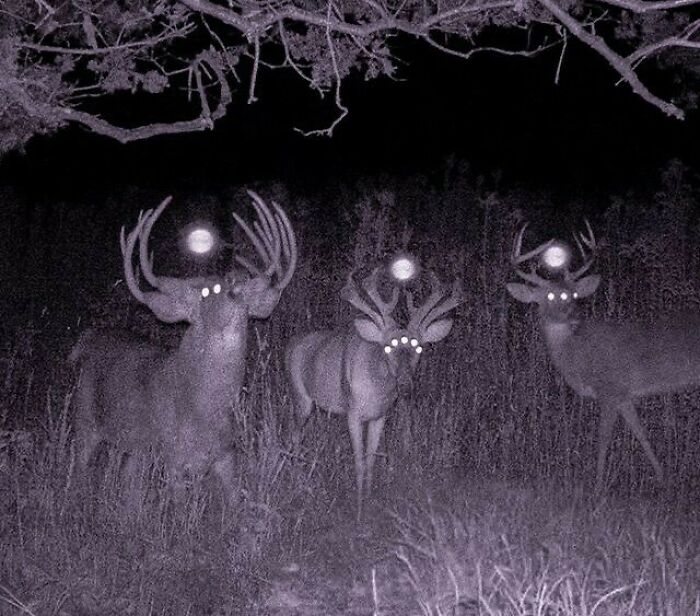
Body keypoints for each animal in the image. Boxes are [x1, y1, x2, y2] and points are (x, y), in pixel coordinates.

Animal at [69, 191, 297, 504]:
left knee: (129, 484)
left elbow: (236, 503)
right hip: (85, 419)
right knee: (79, 470)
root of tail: (89, 337)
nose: (236, 278)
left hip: (136, 448)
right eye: (207, 291)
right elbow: (178, 510)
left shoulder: (227, 456)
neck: (202, 411)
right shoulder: (174, 460)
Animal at [285, 267, 461, 518]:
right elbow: (359, 461)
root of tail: (289, 345)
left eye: (418, 347)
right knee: (294, 434)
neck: (377, 390)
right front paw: (359, 508)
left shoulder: (380, 416)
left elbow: (371, 461)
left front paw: (369, 501)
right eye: (387, 347)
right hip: (300, 396)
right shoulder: (353, 413)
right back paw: (298, 479)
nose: (405, 385)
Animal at [506, 222, 700, 495]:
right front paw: (664, 479)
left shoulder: (610, 388)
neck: (579, 354)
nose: (573, 315)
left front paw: (597, 486)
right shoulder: (624, 396)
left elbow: (603, 439)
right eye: (551, 296)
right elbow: (641, 433)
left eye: (573, 295)